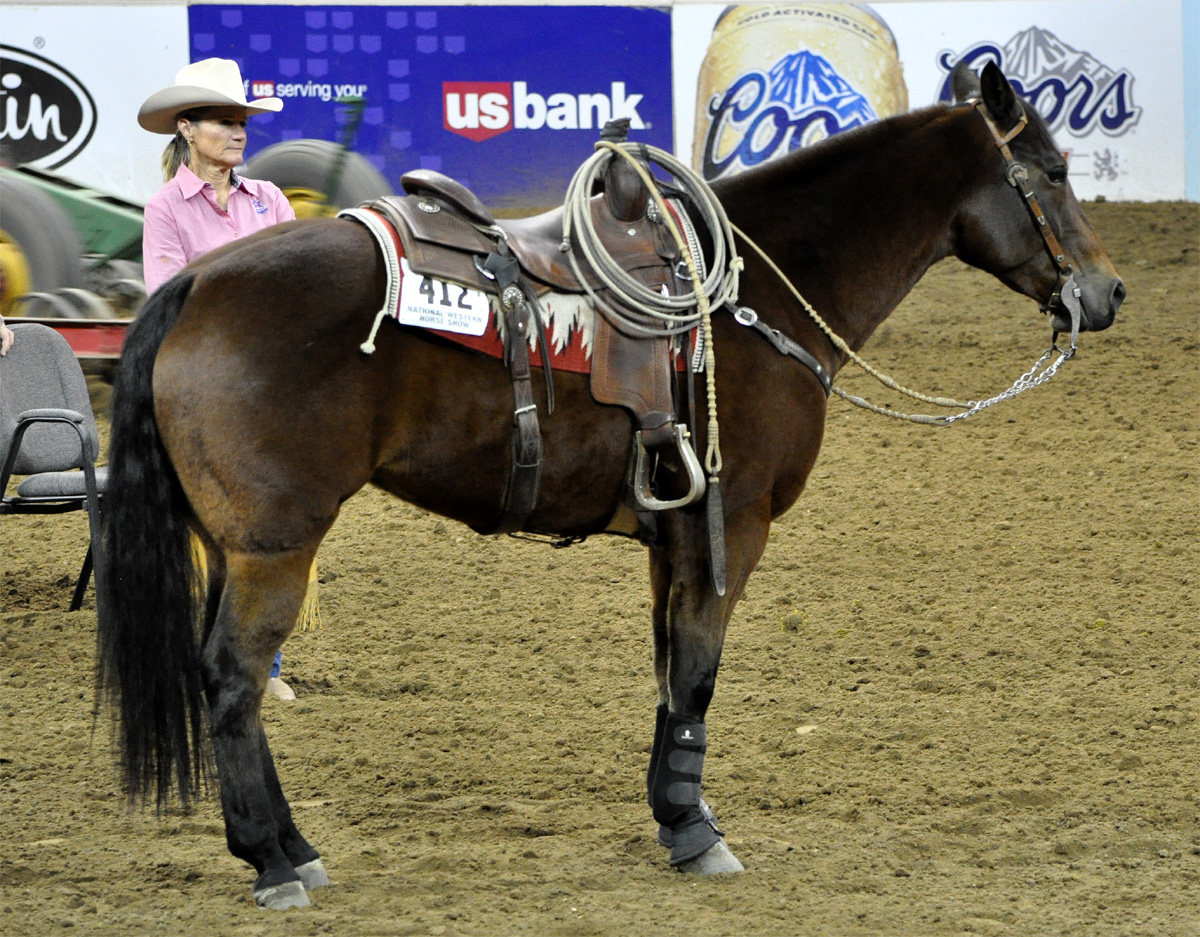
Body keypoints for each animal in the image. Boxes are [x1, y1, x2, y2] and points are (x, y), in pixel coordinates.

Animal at [95, 63, 1123, 908]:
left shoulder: (674, 535)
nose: (1107, 293)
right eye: (1053, 173)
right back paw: (274, 859)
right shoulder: (733, 524)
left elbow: (672, 675)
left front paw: (674, 815)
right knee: (232, 679)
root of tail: (193, 286)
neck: (748, 301)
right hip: (275, 547)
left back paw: (293, 847)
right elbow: (700, 675)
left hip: (232, 545)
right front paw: (699, 833)